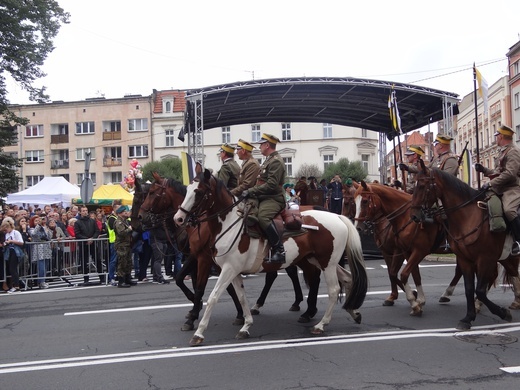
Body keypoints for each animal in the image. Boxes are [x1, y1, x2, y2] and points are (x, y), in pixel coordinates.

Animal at [173, 169, 368, 346]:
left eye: (198, 192)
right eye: (187, 189)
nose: (179, 218)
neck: (230, 225)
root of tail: (338, 216)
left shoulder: (227, 268)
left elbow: (213, 297)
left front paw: (198, 332)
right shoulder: (233, 271)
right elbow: (242, 297)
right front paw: (246, 326)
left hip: (327, 263)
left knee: (334, 289)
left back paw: (321, 324)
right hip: (318, 261)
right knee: (348, 278)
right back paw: (354, 311)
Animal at [410, 161, 520, 330]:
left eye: (422, 185)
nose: (414, 216)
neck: (468, 216)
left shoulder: (485, 259)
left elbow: (479, 290)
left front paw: (503, 313)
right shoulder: (465, 259)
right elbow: (469, 289)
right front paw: (468, 318)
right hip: (507, 258)